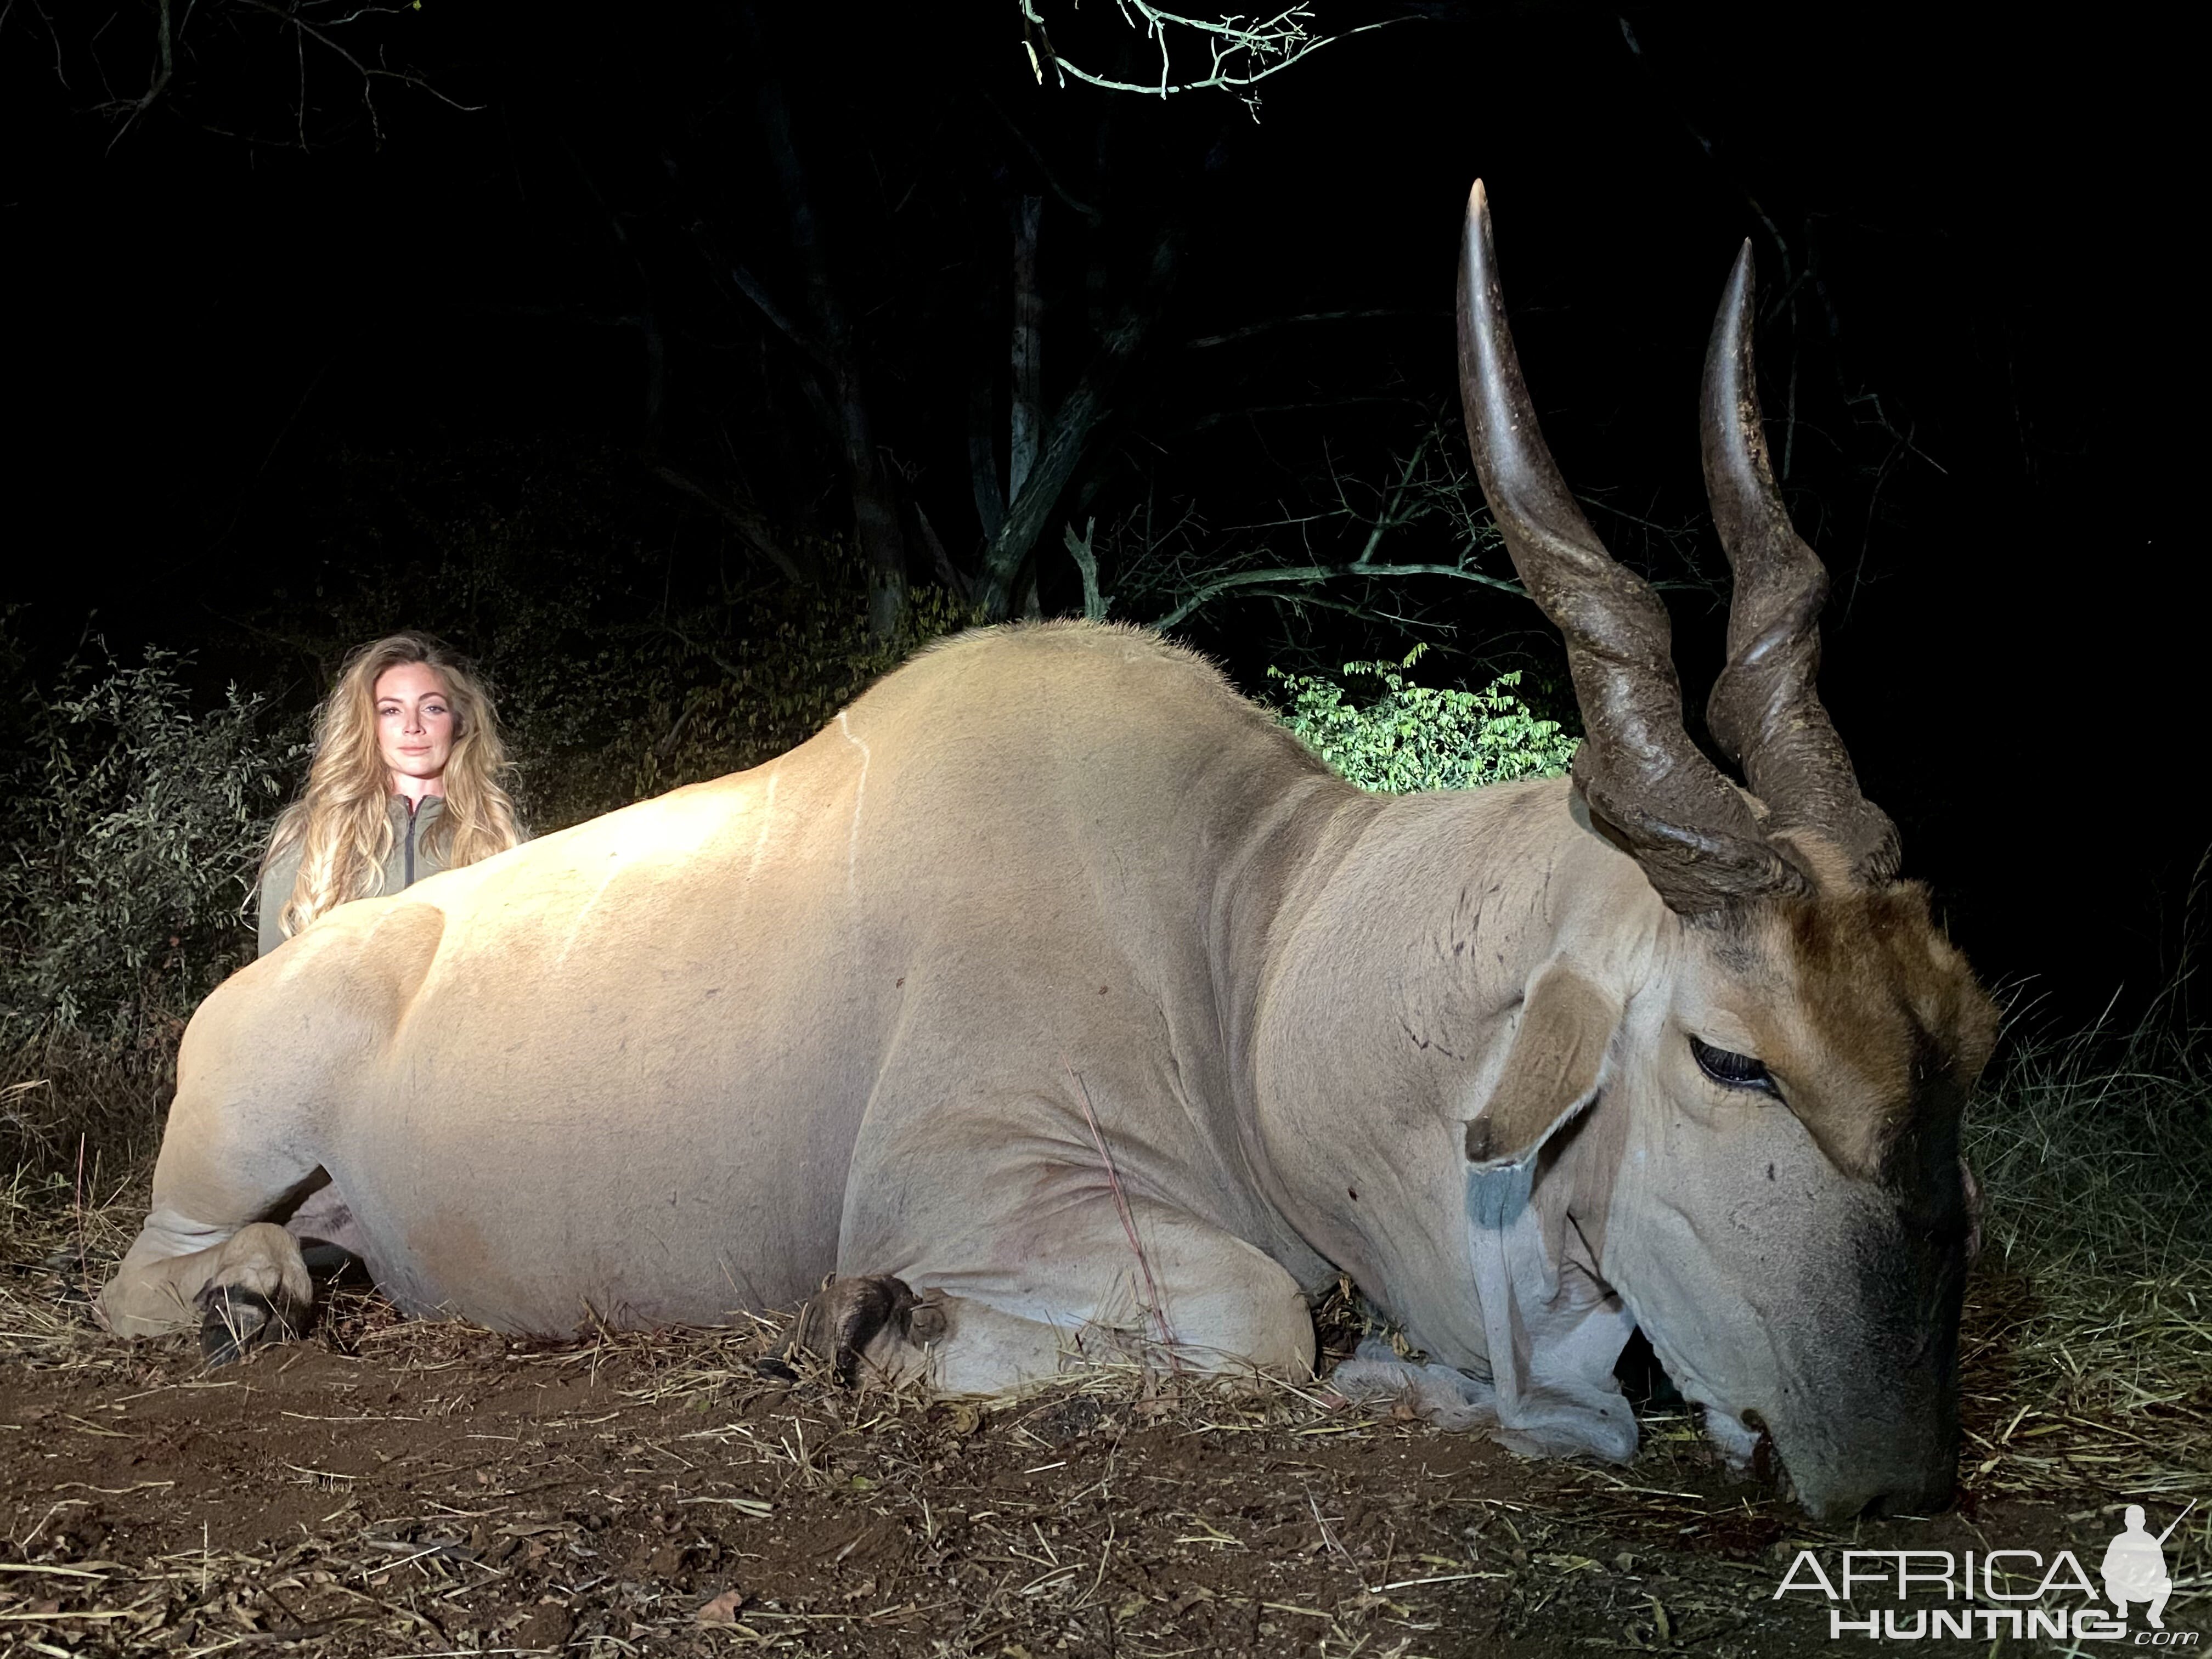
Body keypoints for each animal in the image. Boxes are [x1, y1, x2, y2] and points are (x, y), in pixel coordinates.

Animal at [104, 181, 1999, 1522]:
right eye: (1731, 1058)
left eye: (1961, 1045)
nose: (1901, 1481)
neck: (1248, 949)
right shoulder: (989, 1188)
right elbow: (1258, 1319)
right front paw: (883, 1335)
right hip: (224, 1156)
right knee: (142, 1279)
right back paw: (254, 1294)